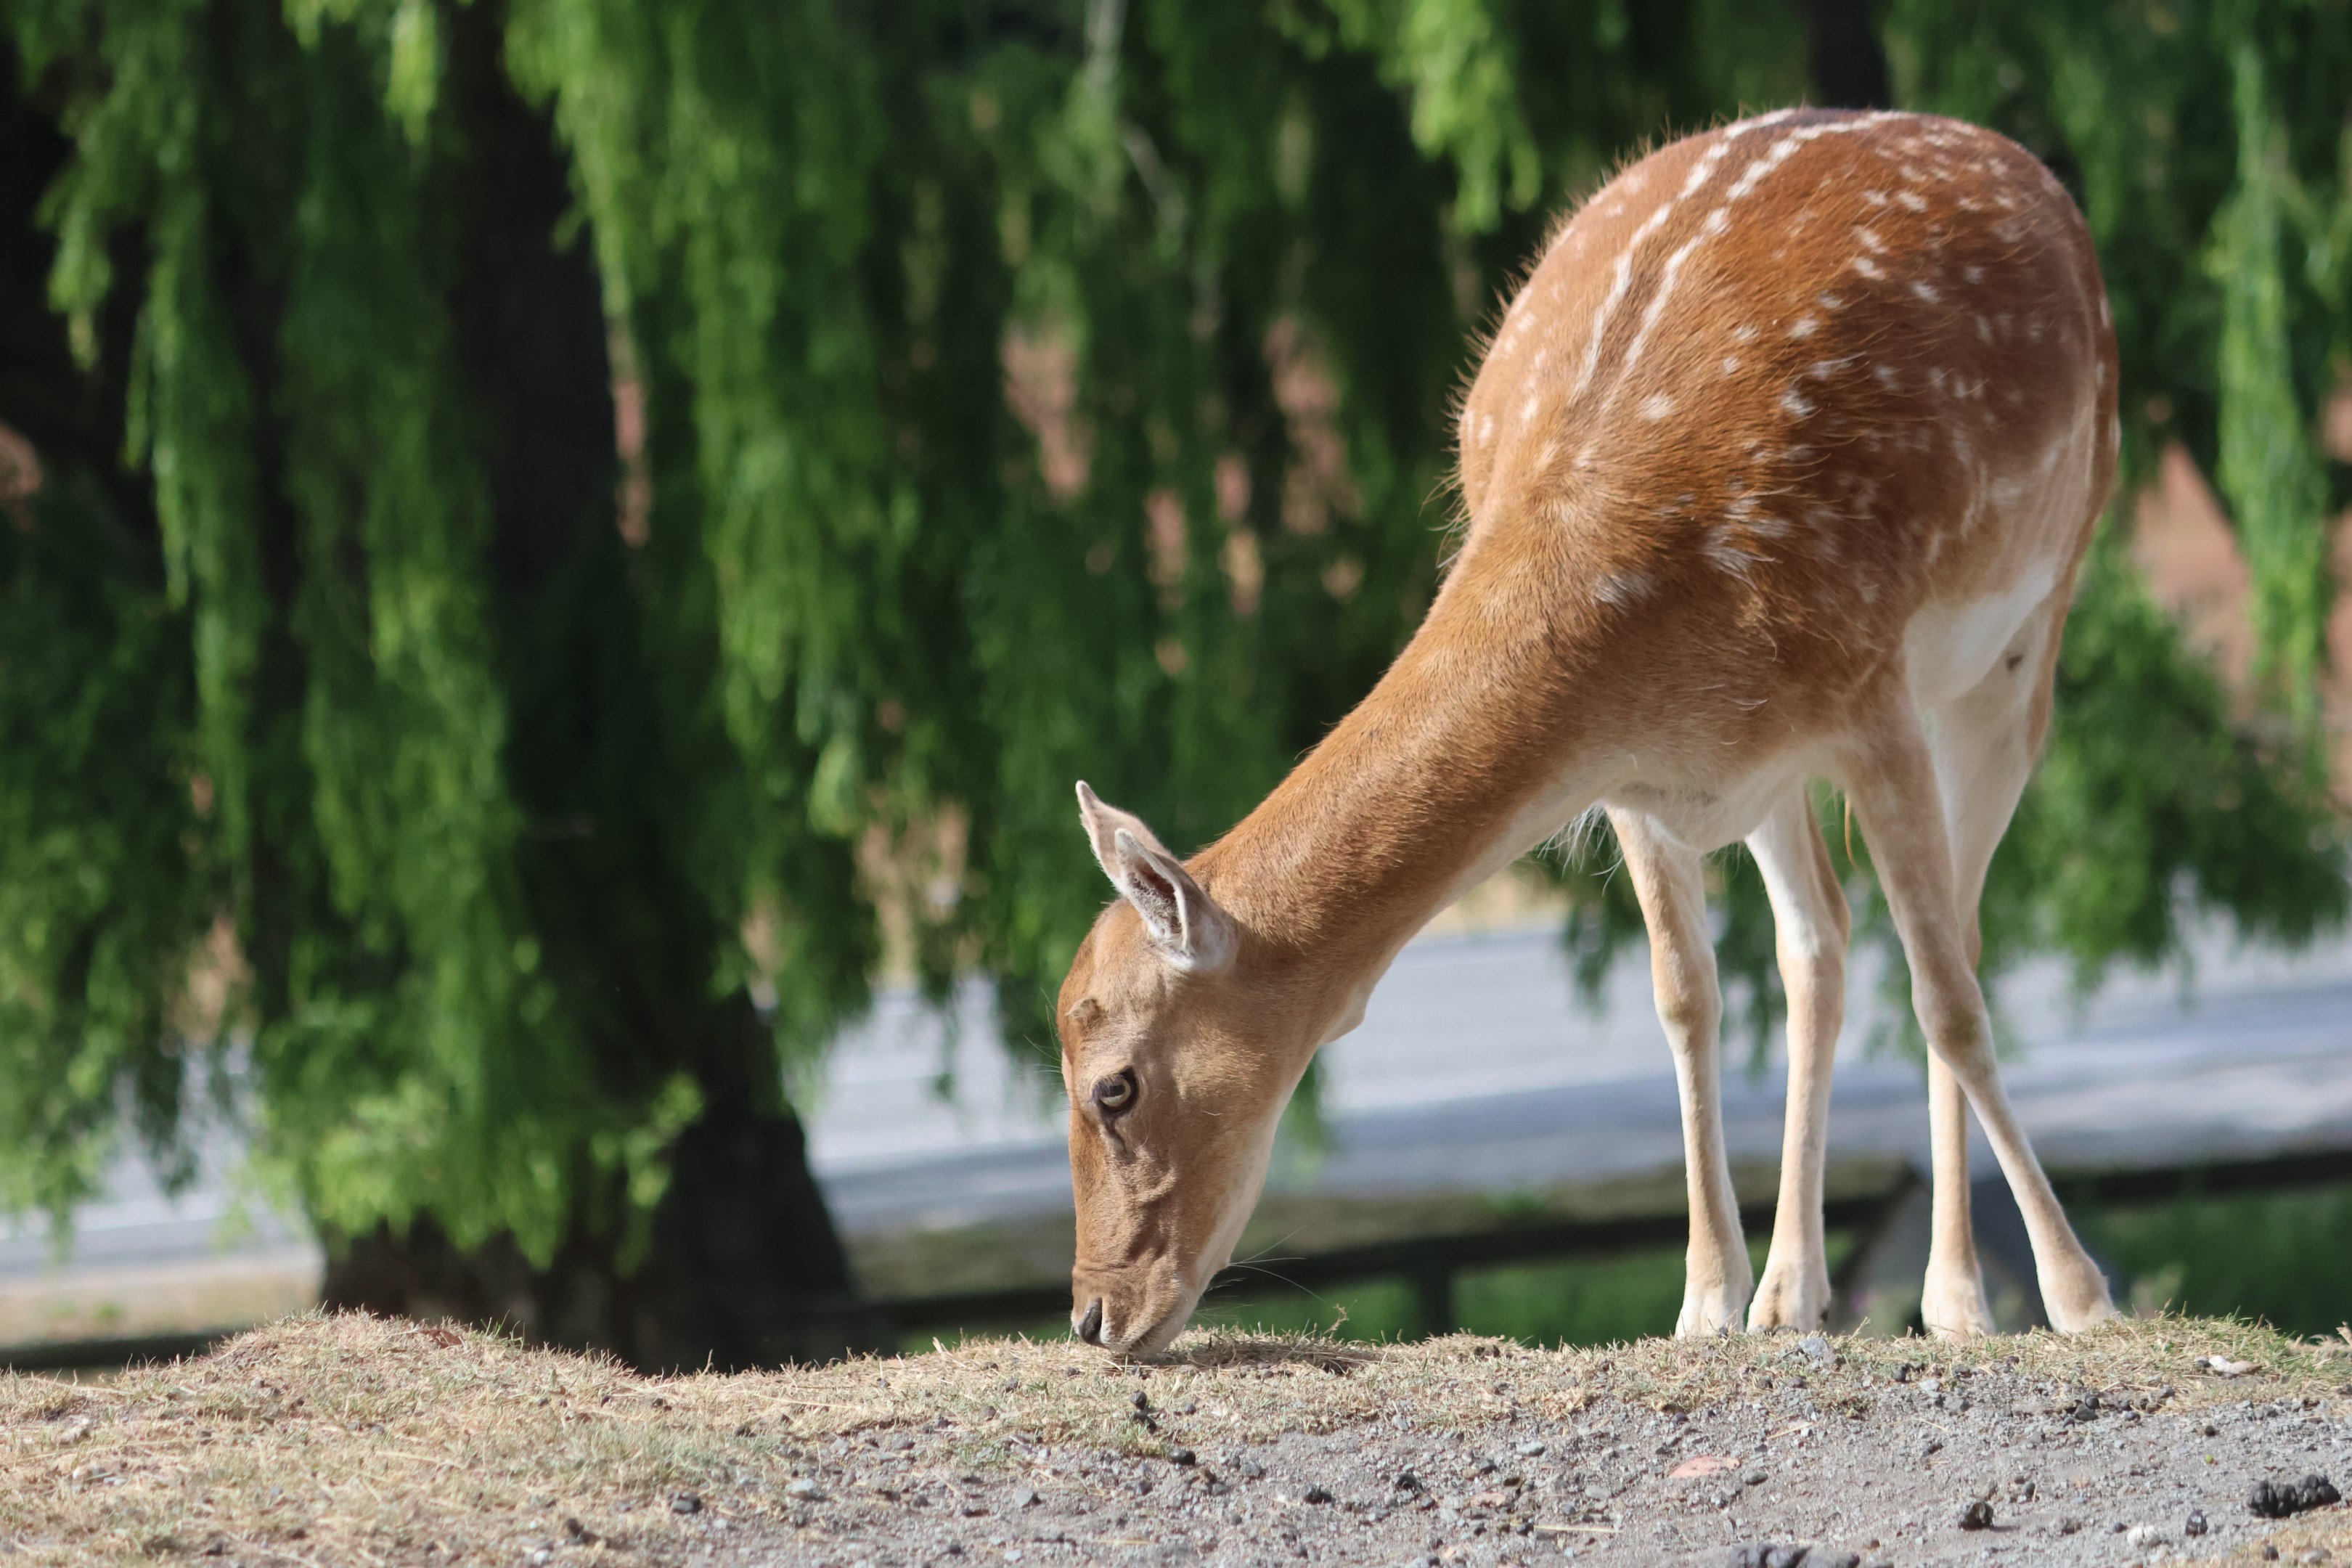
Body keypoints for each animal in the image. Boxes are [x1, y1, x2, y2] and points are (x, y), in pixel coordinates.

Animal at [1058, 107, 2122, 1355]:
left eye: (1114, 1086)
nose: (1092, 1315)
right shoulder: (1636, 779)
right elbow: (1684, 995)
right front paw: (1704, 1301)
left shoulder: (1872, 690)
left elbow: (1948, 1002)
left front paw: (2079, 1295)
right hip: (1775, 773)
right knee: (1818, 941)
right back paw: (1790, 1290)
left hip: (2025, 633)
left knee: (1954, 934)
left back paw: (1954, 1296)